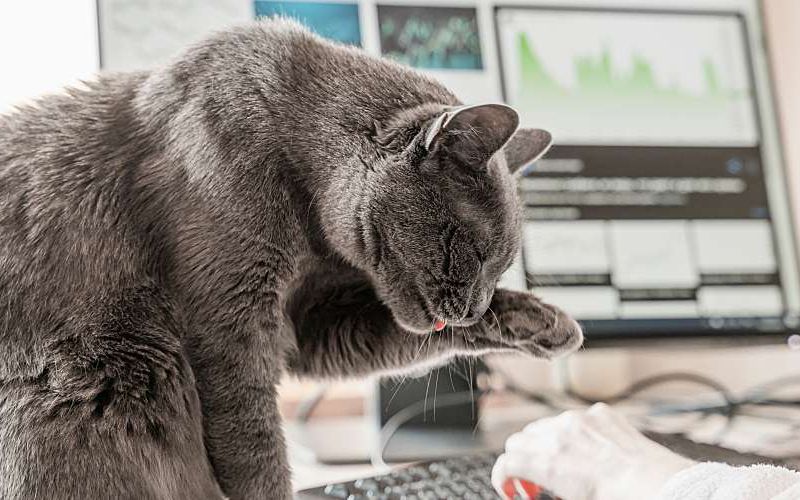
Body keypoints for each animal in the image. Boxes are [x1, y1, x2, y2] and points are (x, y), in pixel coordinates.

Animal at [0, 19, 580, 500]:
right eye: (471, 251)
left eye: (500, 266)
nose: (474, 307)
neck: (312, 234)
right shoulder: (231, 327)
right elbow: (253, 446)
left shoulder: (308, 321)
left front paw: (548, 323)